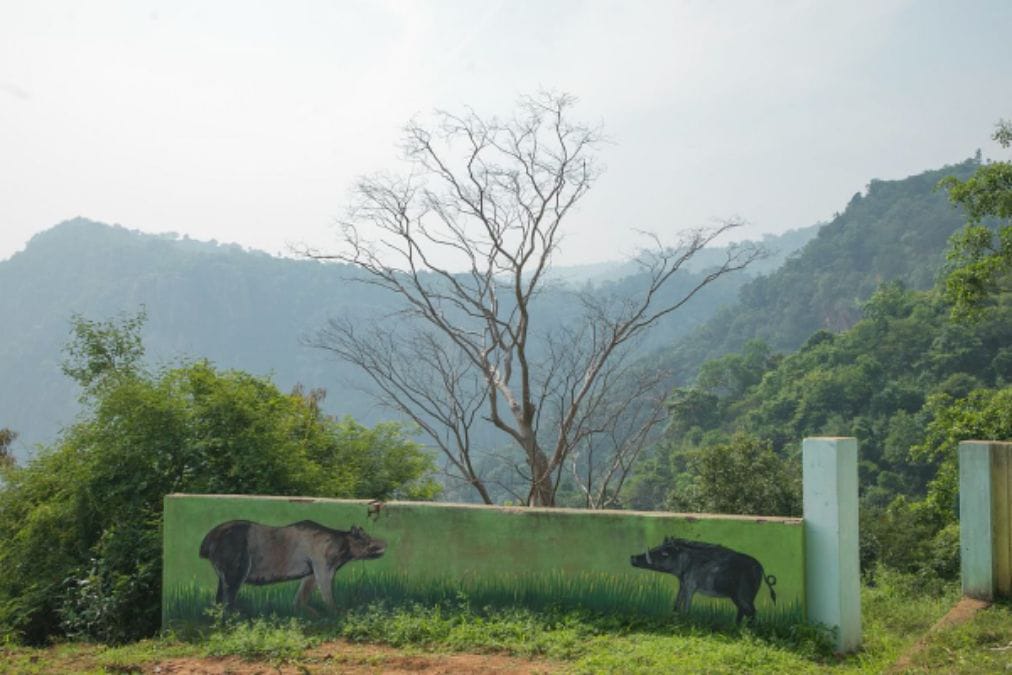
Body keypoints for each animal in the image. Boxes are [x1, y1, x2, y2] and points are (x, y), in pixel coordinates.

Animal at [198, 522, 386, 611]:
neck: (343, 553)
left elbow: (300, 599)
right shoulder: (322, 566)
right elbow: (328, 596)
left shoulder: (311, 573)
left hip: (223, 574)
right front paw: (337, 612)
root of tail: (206, 544)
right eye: (365, 538)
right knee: (228, 601)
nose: (384, 542)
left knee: (219, 600)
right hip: (236, 569)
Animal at [627, 534, 777, 627]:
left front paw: (684, 621)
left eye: (665, 554)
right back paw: (736, 627)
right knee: (743, 611)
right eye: (656, 547)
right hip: (740, 596)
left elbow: (686, 606)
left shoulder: (691, 585)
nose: (632, 557)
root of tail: (761, 568)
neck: (686, 563)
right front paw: (674, 617)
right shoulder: (683, 584)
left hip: (744, 595)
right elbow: (676, 603)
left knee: (752, 612)